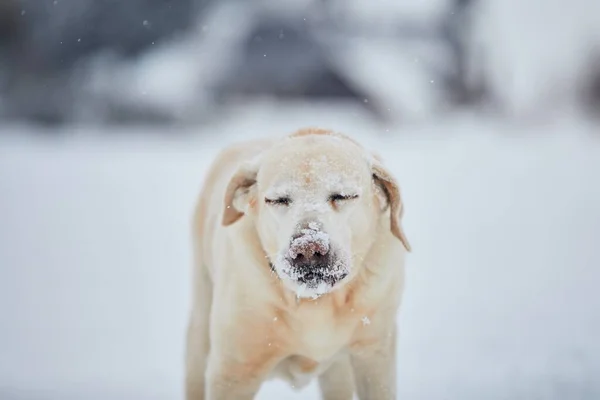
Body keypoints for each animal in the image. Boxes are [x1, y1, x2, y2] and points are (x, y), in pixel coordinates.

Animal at [185, 128, 410, 400]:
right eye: (278, 200)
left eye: (343, 196)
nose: (308, 249)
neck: (316, 303)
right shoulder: (232, 372)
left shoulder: (375, 354)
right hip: (200, 333)